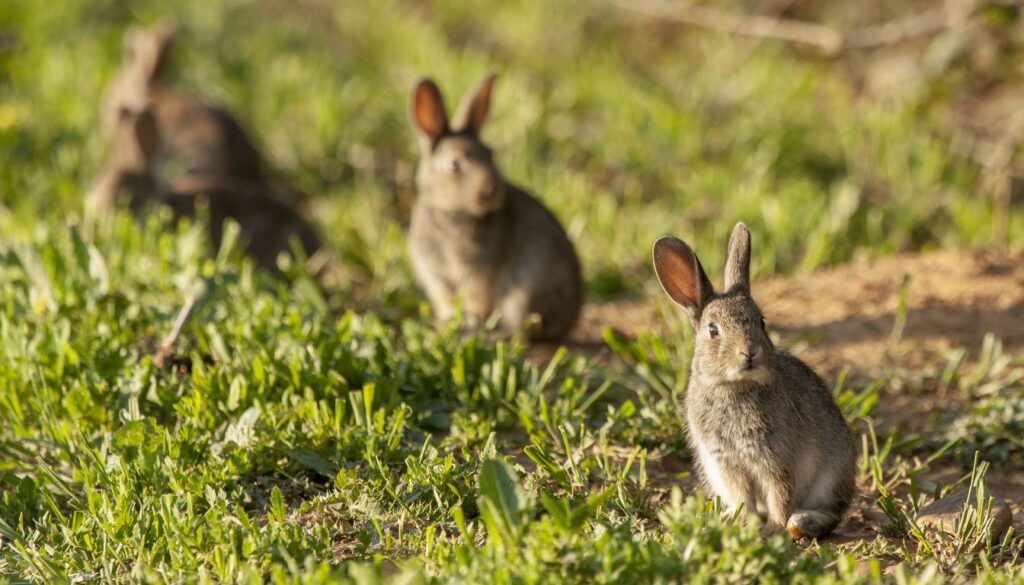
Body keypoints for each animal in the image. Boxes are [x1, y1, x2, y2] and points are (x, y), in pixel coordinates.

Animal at [407, 73, 582, 341]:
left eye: (490, 154)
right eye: (454, 164)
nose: (493, 190)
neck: (450, 214)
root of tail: (569, 320)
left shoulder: (479, 273)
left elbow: (477, 300)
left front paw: (470, 324)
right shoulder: (436, 276)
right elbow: (446, 301)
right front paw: (448, 326)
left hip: (524, 291)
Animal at [652, 222, 855, 540]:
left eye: (761, 321)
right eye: (713, 330)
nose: (749, 352)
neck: (733, 387)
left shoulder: (775, 461)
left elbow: (779, 495)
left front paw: (775, 528)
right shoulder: (727, 465)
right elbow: (744, 498)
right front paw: (745, 523)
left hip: (831, 474)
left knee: (831, 512)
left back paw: (801, 523)